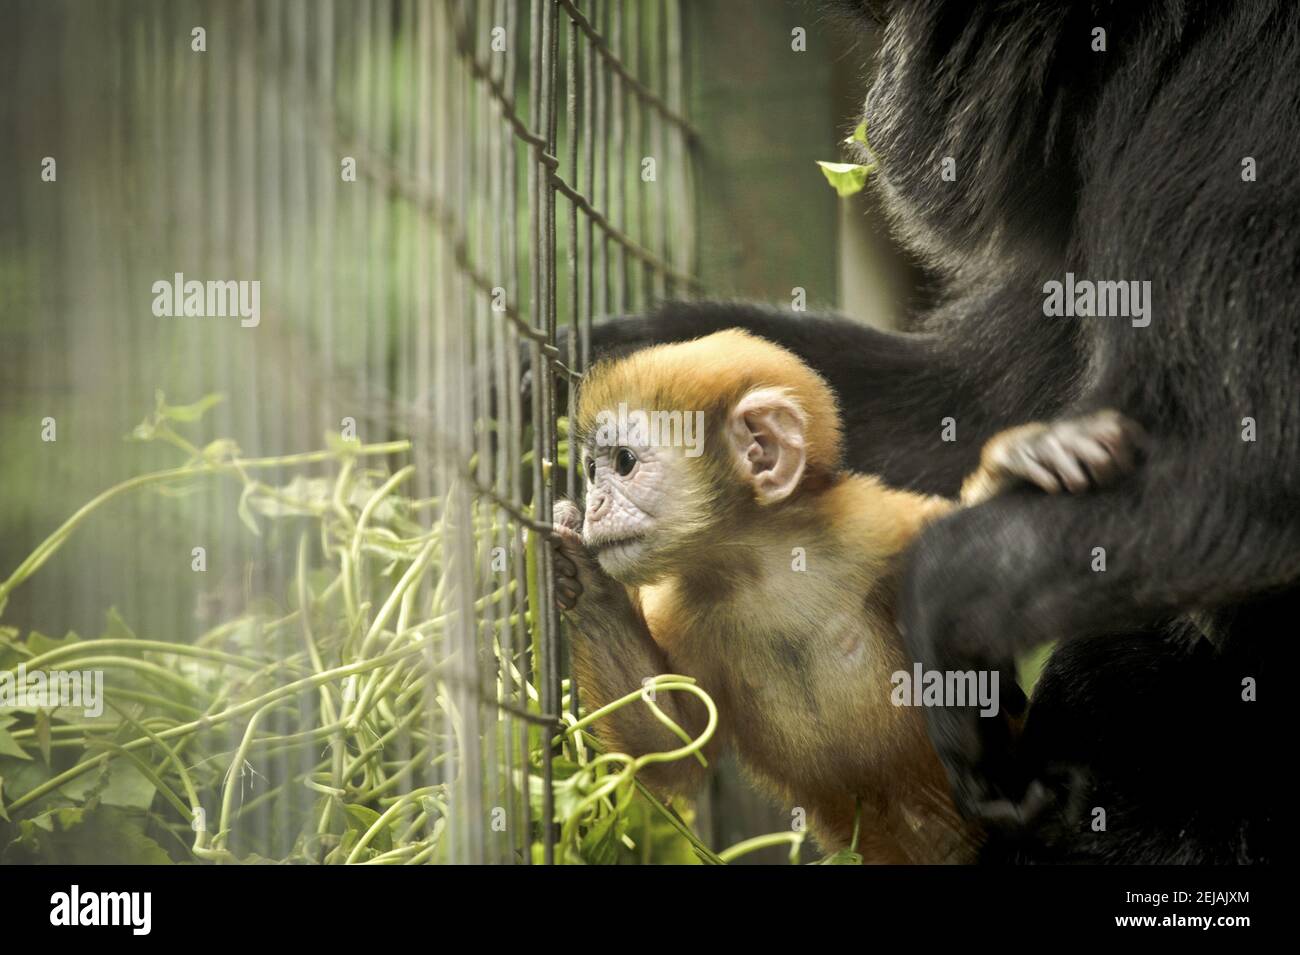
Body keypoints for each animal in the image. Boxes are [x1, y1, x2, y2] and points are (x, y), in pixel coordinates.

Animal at [547, 329, 1143, 862]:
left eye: (623, 462)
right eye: (592, 470)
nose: (595, 503)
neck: (760, 570)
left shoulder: (869, 529)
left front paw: (1015, 465)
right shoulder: (678, 606)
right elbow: (671, 750)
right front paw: (583, 575)